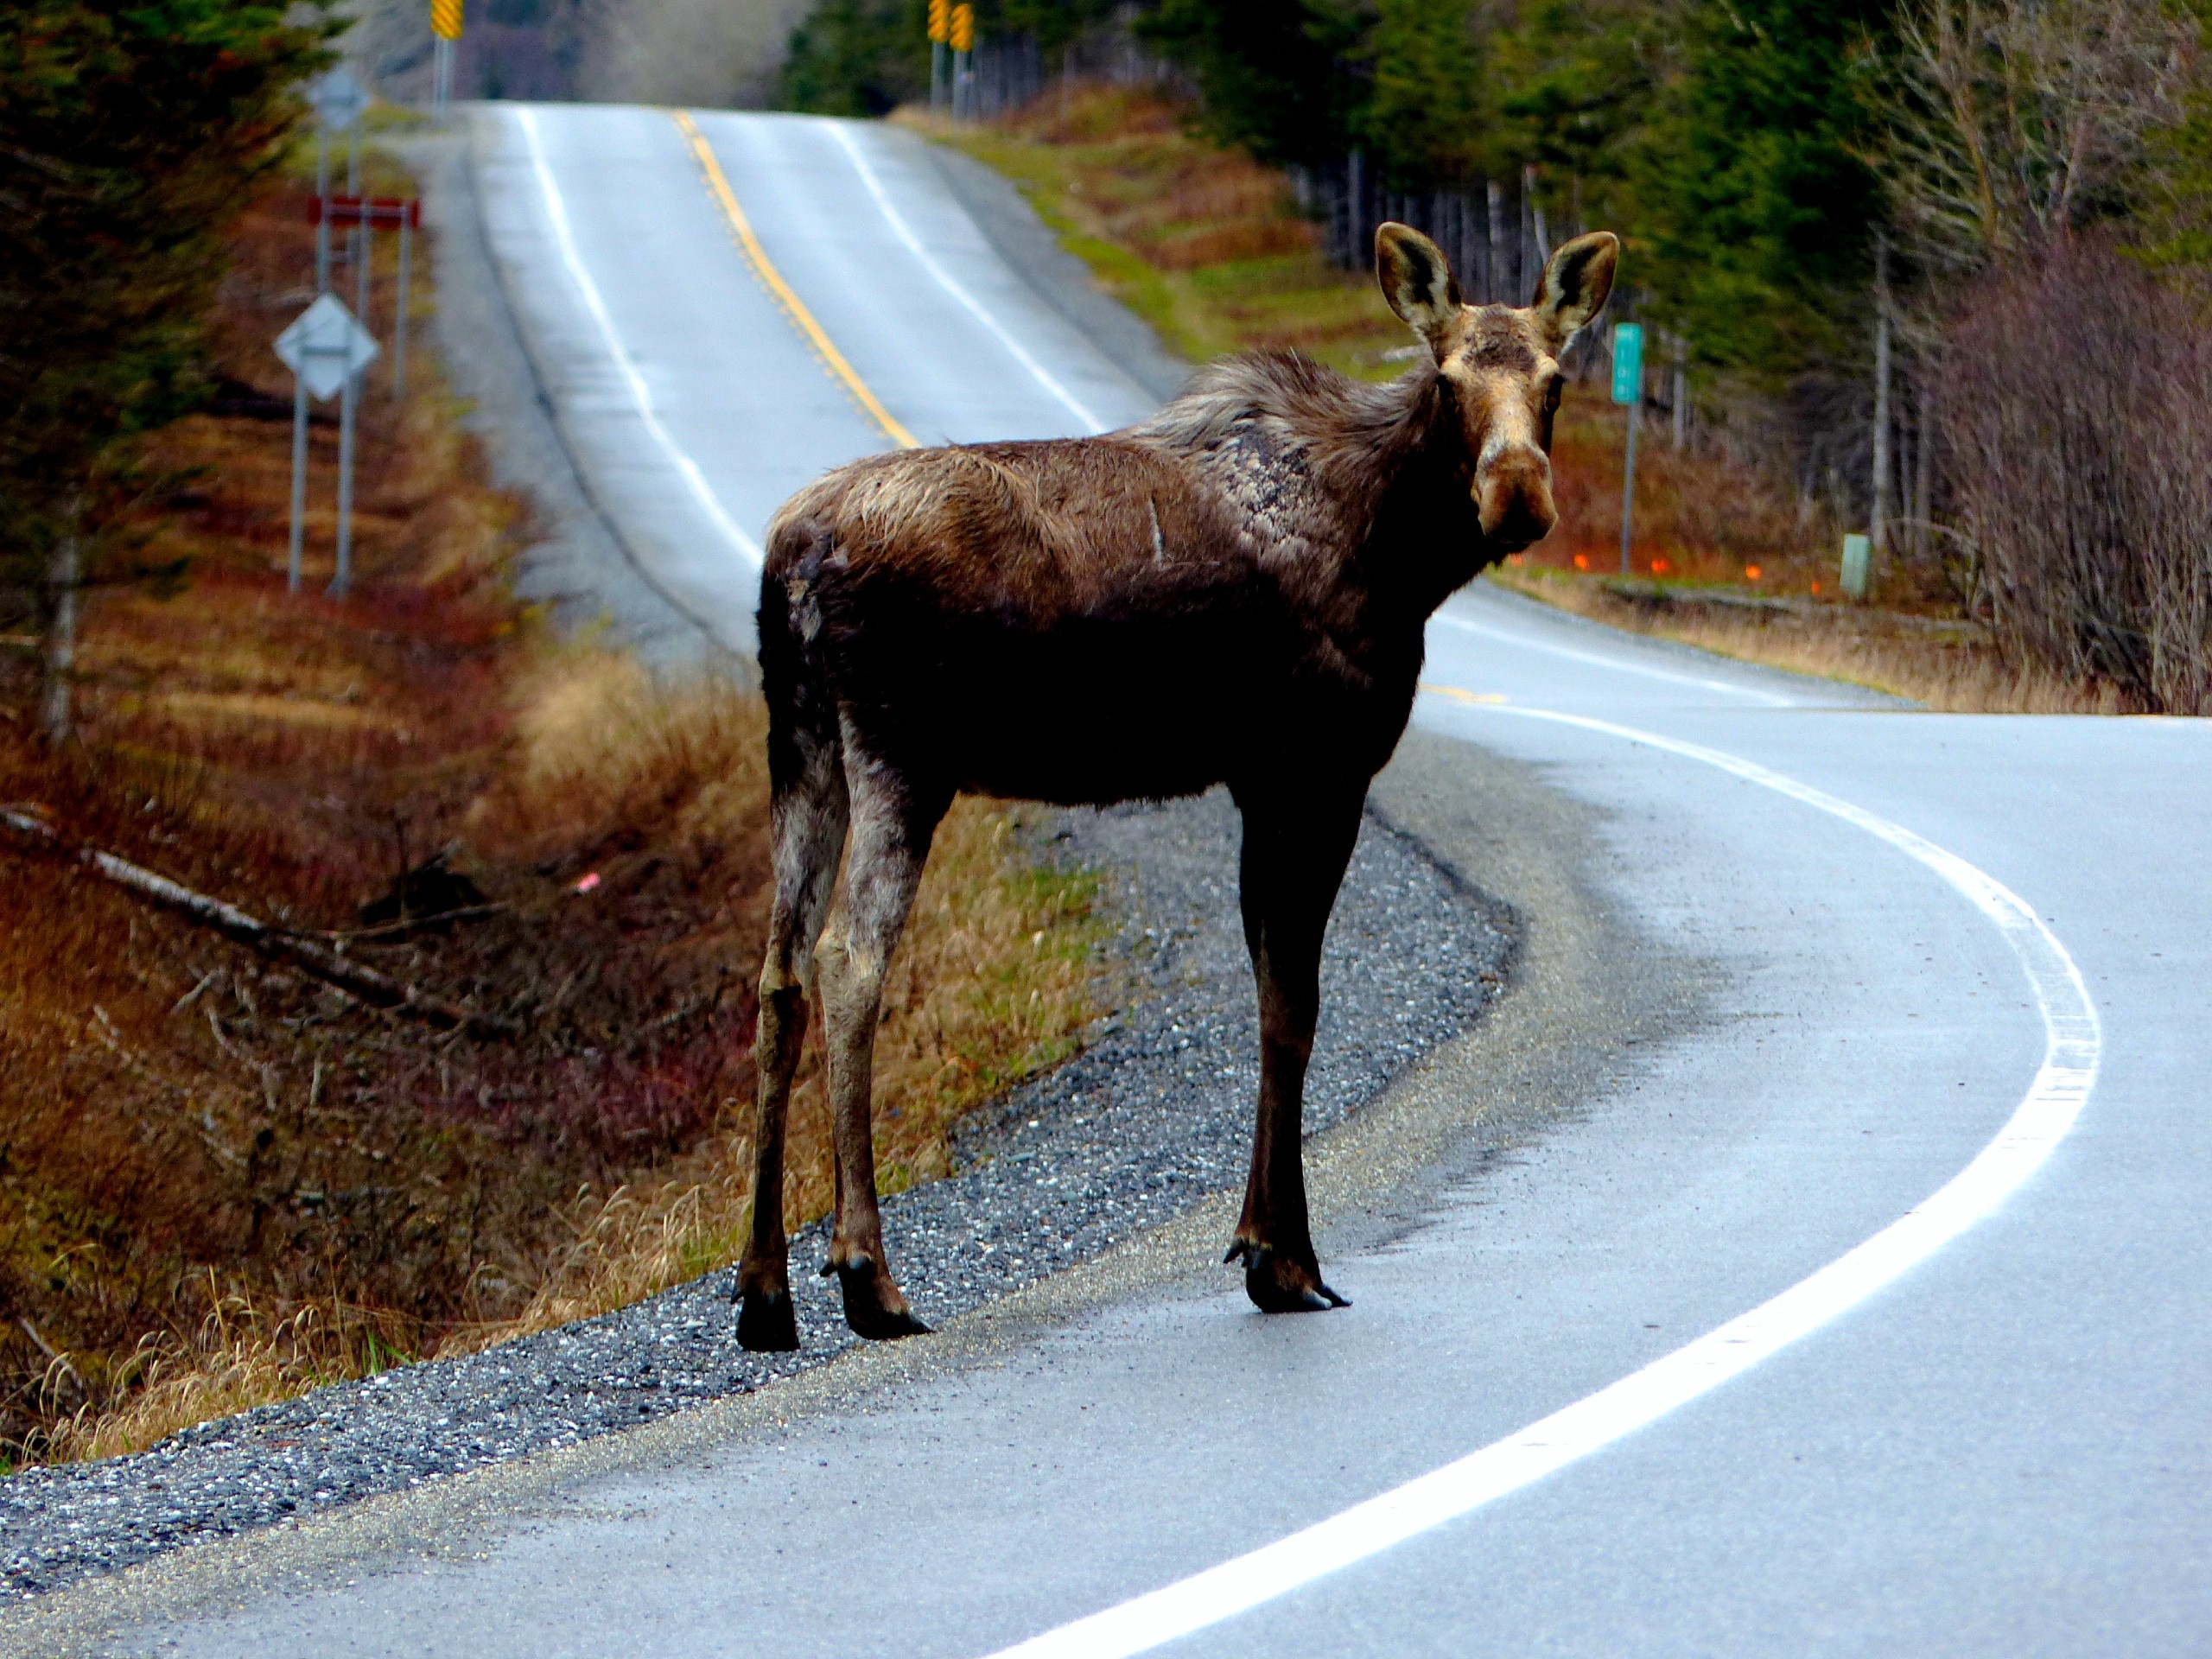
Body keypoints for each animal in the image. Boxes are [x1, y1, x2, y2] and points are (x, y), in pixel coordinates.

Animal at [734, 218, 1618, 1353]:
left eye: (1555, 379)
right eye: (1448, 376)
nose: (1516, 495)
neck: (1399, 556)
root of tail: (792, 558)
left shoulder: (1255, 780)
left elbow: (1272, 990)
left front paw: (1263, 1243)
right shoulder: (1315, 766)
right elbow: (1294, 1004)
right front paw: (1285, 1258)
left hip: (798, 743)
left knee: (778, 972)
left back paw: (763, 1289)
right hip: (899, 752)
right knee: (849, 959)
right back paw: (866, 1273)